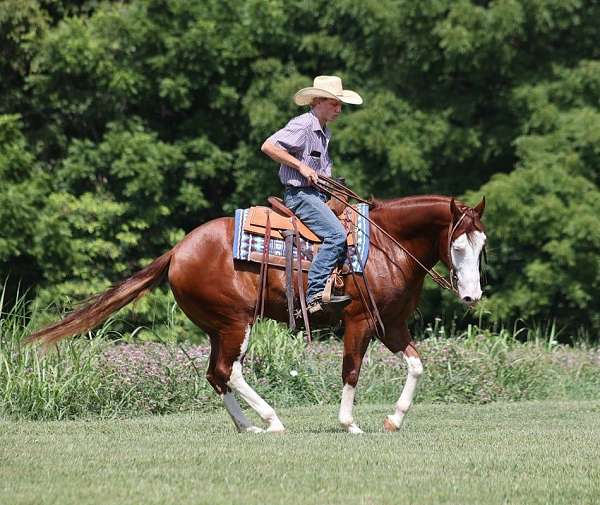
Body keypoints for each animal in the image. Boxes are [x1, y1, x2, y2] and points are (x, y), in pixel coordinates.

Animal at [29, 194, 488, 434]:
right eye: (457, 246)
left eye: (482, 245)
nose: (472, 295)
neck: (385, 247)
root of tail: (178, 250)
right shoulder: (359, 322)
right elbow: (352, 371)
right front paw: (349, 423)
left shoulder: (391, 324)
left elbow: (416, 366)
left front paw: (394, 419)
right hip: (237, 322)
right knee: (229, 370)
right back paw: (270, 420)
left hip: (218, 327)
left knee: (215, 374)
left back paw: (247, 426)